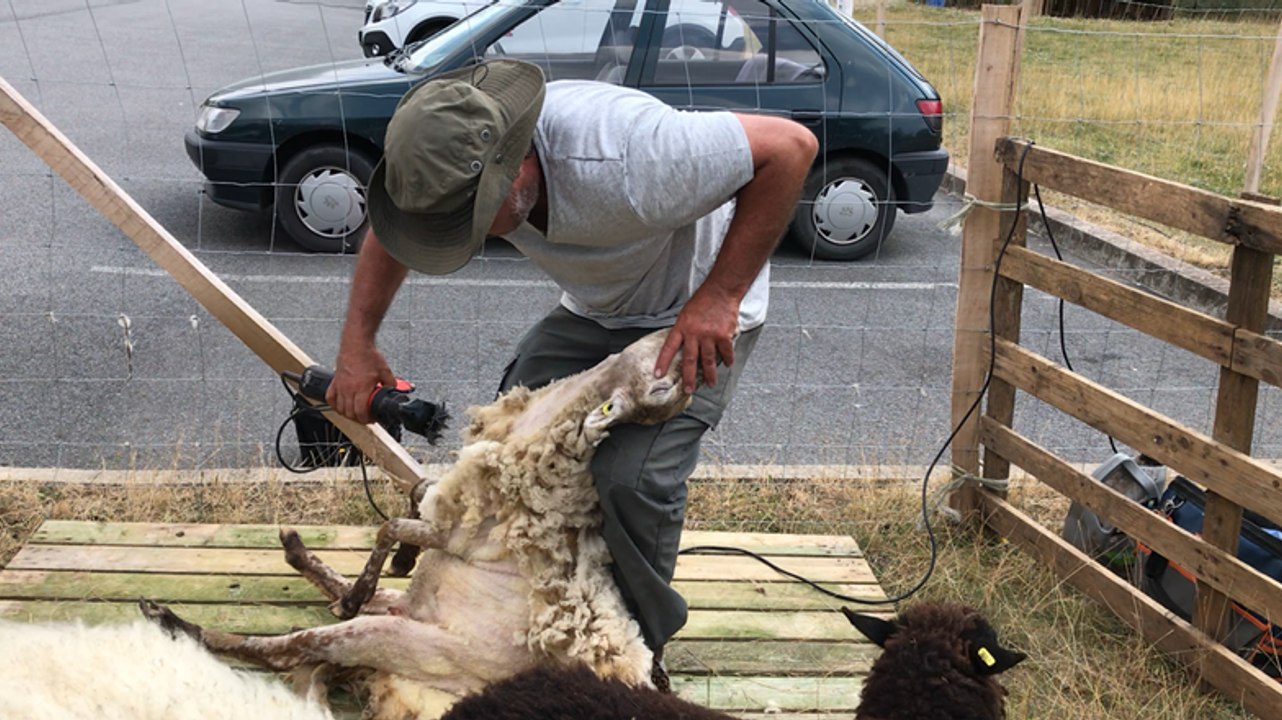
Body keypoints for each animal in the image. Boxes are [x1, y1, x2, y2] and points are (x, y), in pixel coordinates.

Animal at [141, 328, 694, 719]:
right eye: (665, 384)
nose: (693, 350)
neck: (539, 433)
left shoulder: (463, 535)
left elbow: (392, 526)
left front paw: (394, 558)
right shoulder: (447, 505)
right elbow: (414, 498)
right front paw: (399, 560)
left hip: (401, 641)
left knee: (293, 650)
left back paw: (177, 622)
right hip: (402, 614)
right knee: (340, 619)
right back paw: (309, 563)